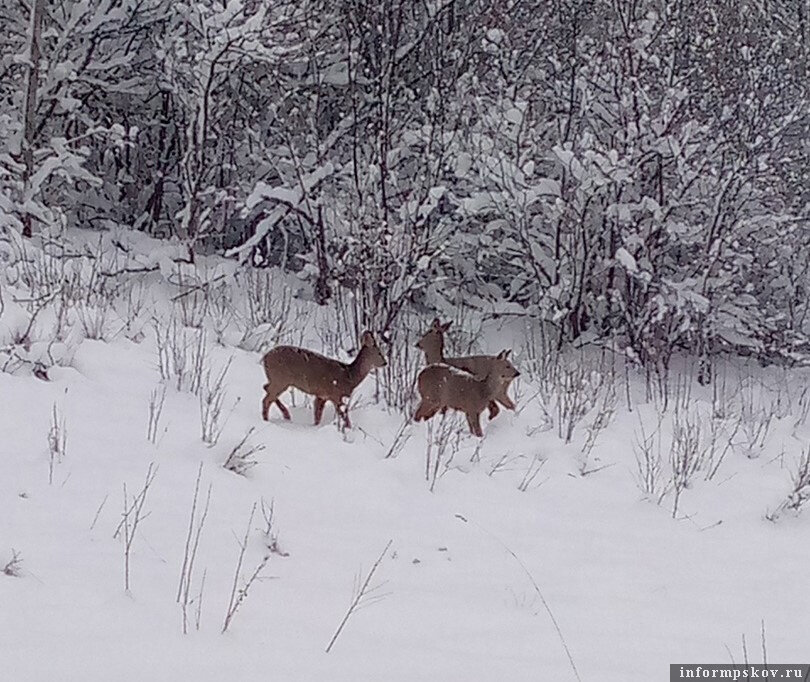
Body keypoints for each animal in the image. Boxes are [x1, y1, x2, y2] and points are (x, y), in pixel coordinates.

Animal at [258, 328, 386, 424]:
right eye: (379, 353)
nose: (385, 363)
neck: (349, 376)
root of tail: (265, 358)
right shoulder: (336, 394)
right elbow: (345, 417)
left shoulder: (321, 396)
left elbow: (317, 416)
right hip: (281, 379)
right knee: (266, 398)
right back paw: (267, 420)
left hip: (276, 379)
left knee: (266, 388)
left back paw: (286, 415)